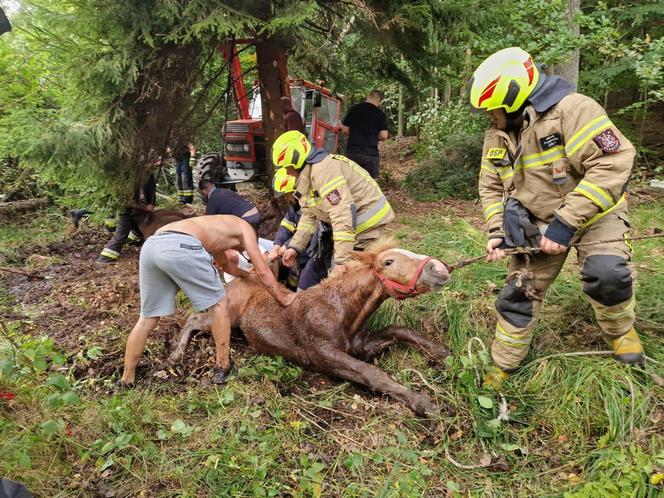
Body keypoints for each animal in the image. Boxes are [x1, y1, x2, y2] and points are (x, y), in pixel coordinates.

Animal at [169, 241, 454, 416]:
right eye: (389, 262)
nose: (440, 268)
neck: (340, 310)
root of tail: (243, 275)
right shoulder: (324, 355)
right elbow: (373, 374)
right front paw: (424, 403)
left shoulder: (361, 345)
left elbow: (399, 330)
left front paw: (442, 352)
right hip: (226, 318)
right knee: (194, 320)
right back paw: (176, 356)